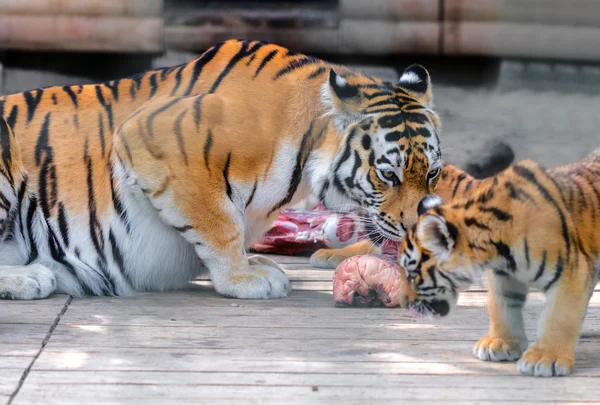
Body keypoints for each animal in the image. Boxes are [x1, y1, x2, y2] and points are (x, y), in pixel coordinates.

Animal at [0, 40, 440, 300]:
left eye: (432, 174)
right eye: (388, 175)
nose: (418, 229)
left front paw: (255, 264)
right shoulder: (149, 135)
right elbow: (219, 223)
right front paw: (243, 279)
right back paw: (31, 277)